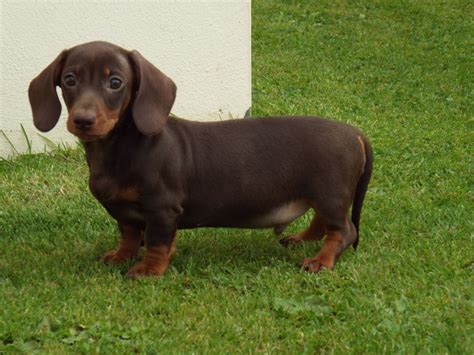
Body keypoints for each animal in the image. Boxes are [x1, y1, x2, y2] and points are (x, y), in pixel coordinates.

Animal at [27, 41, 372, 278]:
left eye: (115, 82)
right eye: (70, 79)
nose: (83, 120)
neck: (122, 147)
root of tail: (355, 132)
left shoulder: (163, 209)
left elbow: (157, 242)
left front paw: (149, 270)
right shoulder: (125, 212)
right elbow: (129, 235)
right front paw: (121, 256)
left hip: (329, 193)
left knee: (343, 230)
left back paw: (321, 260)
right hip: (322, 195)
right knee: (323, 222)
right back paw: (301, 240)